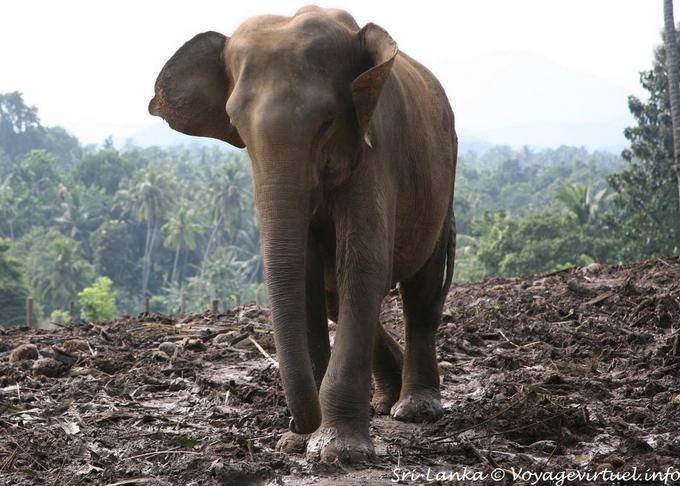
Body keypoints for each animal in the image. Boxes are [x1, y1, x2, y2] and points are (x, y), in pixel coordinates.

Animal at [149, 5, 457, 463]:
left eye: (327, 121)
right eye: (235, 124)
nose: (298, 423)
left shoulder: (375, 152)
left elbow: (363, 265)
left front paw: (337, 450)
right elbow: (309, 280)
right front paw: (296, 443)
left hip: (442, 180)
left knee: (420, 288)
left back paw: (414, 409)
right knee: (334, 297)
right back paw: (386, 399)